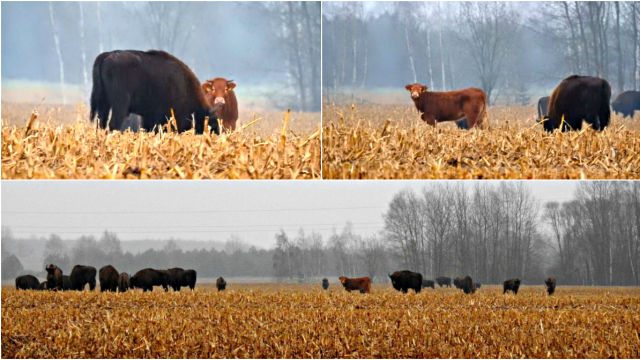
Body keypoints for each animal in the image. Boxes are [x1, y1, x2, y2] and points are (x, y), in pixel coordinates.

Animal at [89, 50, 220, 134]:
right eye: (211, 123)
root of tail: (106, 55)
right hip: (119, 105)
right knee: (113, 124)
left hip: (103, 104)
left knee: (101, 123)